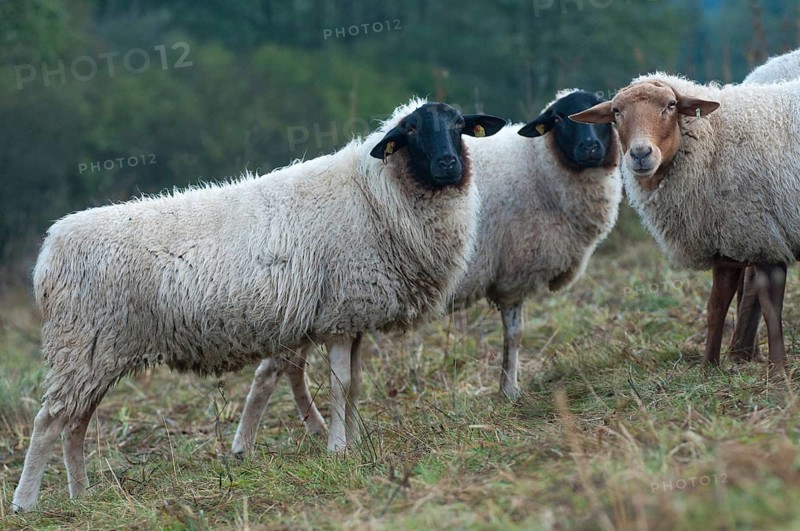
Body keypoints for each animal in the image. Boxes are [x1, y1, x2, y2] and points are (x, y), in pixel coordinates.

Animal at [11, 98, 507, 512]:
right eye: (412, 131)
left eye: (459, 126)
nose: (447, 163)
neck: (376, 193)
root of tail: (49, 250)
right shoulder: (341, 315)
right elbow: (341, 385)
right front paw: (339, 450)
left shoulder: (353, 315)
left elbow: (354, 385)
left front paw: (354, 441)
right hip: (81, 344)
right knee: (47, 421)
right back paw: (25, 502)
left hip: (98, 352)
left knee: (74, 424)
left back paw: (81, 496)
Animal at [231, 89, 622, 450]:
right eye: (558, 119)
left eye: (603, 115)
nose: (590, 149)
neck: (537, 164)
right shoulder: (513, 276)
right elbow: (514, 335)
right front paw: (509, 390)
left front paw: (507, 388)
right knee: (270, 371)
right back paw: (243, 446)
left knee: (290, 368)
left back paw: (312, 428)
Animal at [571, 72, 800, 369]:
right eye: (616, 112)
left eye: (671, 105)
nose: (640, 154)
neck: (714, 143)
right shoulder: (728, 243)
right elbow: (716, 307)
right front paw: (708, 369)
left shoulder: (762, 238)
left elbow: (771, 309)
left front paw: (778, 370)